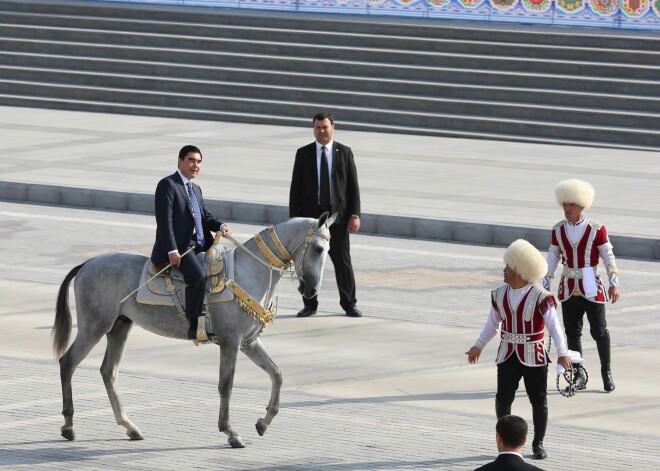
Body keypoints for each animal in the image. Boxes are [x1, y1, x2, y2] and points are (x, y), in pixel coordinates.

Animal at [51, 214, 336, 450]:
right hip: (94, 326)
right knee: (68, 362)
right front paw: (230, 432)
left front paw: (263, 423)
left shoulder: (248, 343)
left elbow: (276, 374)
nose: (312, 290)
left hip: (120, 327)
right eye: (318, 248)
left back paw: (129, 427)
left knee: (108, 372)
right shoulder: (231, 342)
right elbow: (226, 385)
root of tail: (87, 263)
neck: (247, 273)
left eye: (328, 250)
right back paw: (69, 425)